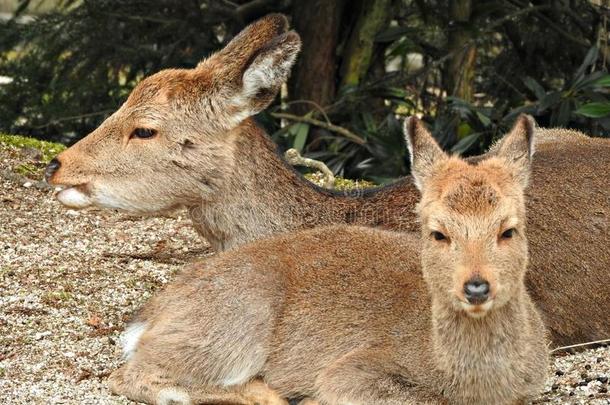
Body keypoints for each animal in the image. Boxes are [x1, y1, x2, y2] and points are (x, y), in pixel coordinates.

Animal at [108, 115, 548, 404]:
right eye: (437, 231)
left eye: (509, 229)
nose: (476, 286)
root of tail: (150, 313)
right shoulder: (353, 371)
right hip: (235, 321)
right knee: (131, 375)